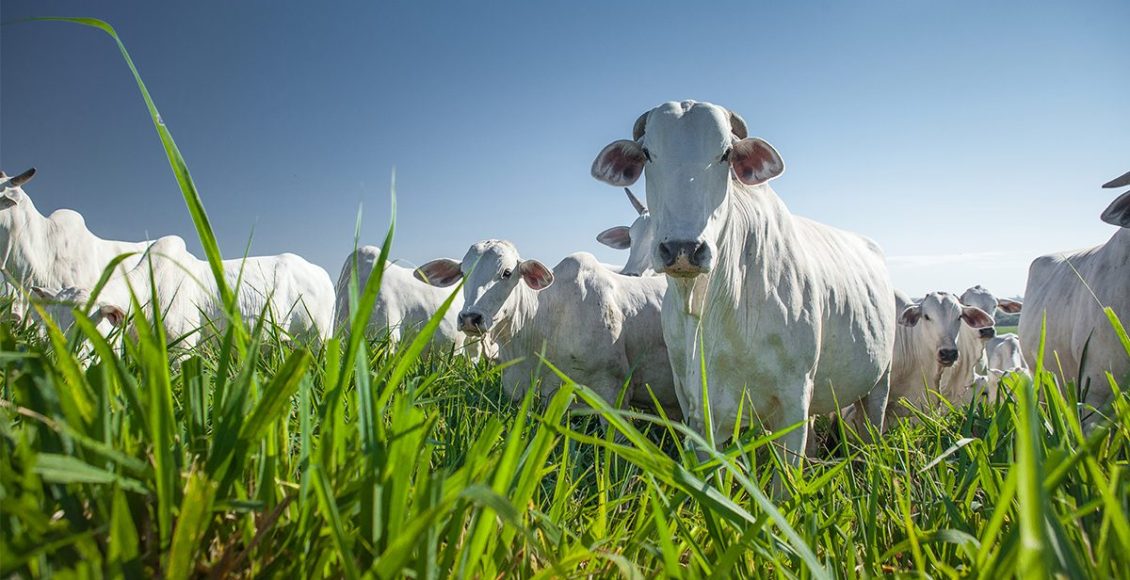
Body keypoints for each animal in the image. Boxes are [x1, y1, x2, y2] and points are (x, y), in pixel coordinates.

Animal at [587, 100, 894, 461]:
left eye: (726, 154)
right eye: (648, 153)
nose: (683, 248)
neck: (704, 304)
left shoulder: (794, 399)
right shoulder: (696, 409)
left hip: (880, 383)